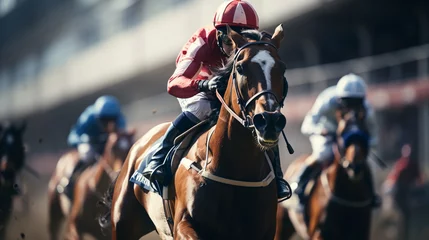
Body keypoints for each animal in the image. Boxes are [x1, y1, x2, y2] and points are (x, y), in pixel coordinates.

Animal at [276, 105, 372, 240]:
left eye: (365, 131)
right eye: (342, 132)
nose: (355, 167)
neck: (348, 193)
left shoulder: (361, 232)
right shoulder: (320, 232)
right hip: (282, 224)